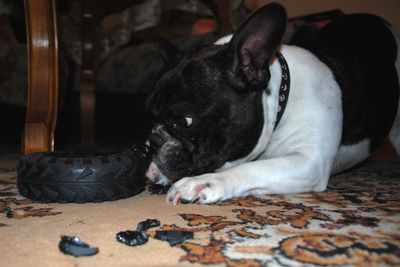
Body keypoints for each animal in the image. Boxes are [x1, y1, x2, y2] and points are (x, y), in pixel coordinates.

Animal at [145, 2, 398, 205]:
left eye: (184, 121)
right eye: (151, 116)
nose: (152, 140)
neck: (281, 102)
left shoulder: (309, 162)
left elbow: (251, 167)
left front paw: (204, 182)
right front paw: (158, 169)